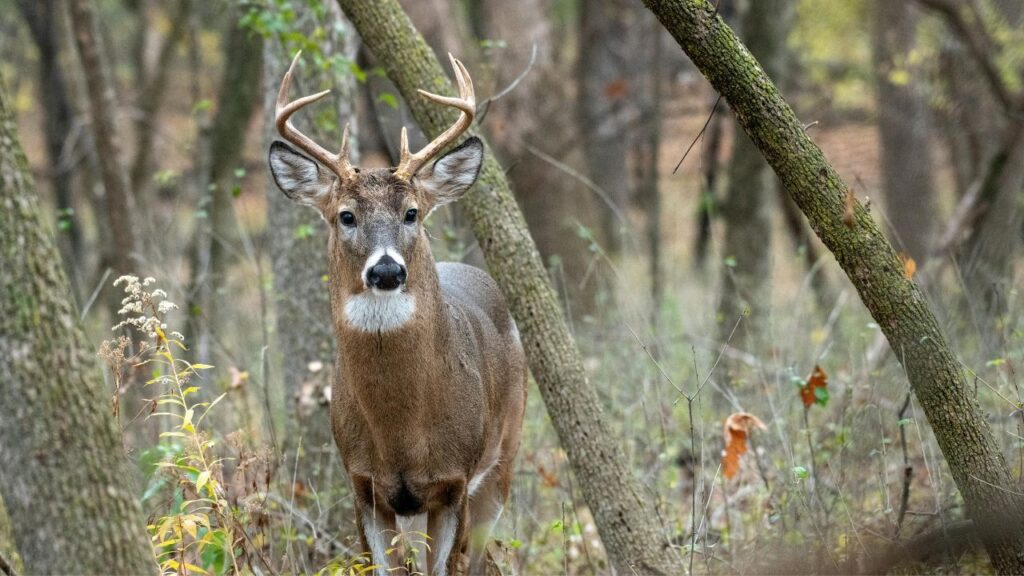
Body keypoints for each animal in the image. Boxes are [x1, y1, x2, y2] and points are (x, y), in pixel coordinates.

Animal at [268, 52, 527, 576]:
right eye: (346, 216)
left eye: (411, 212)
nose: (386, 269)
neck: (401, 432)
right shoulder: (363, 483)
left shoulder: (454, 480)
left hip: (504, 457)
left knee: (480, 556)